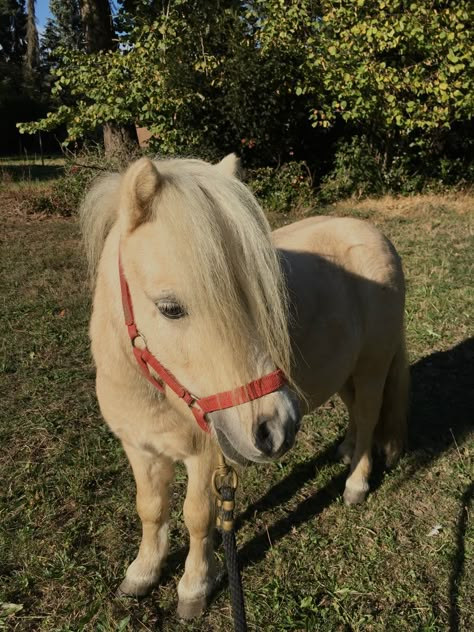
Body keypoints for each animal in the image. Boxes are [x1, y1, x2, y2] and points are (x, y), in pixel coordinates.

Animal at [80, 156, 408, 620]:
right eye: (170, 308)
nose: (276, 428)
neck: (153, 394)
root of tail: (373, 234)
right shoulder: (140, 449)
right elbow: (151, 509)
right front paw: (142, 573)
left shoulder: (206, 457)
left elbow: (197, 516)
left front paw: (194, 587)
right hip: (344, 372)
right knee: (355, 417)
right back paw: (344, 450)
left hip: (371, 368)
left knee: (368, 418)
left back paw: (356, 483)